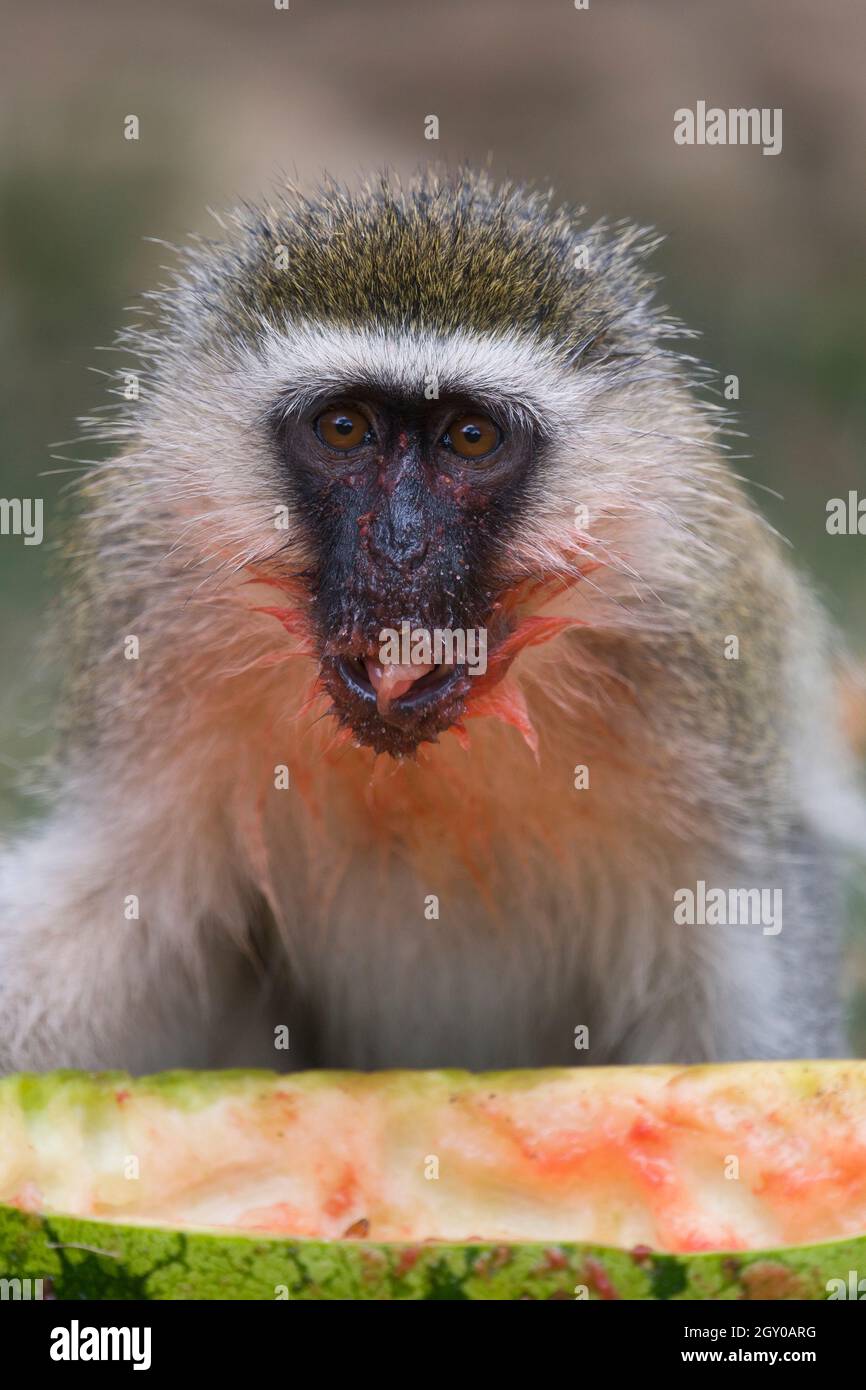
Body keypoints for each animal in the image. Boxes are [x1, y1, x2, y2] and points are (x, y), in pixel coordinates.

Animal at [0, 173, 861, 1073]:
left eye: (470, 437)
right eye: (345, 428)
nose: (401, 547)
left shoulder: (695, 645)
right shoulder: (153, 599)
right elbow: (111, 902)